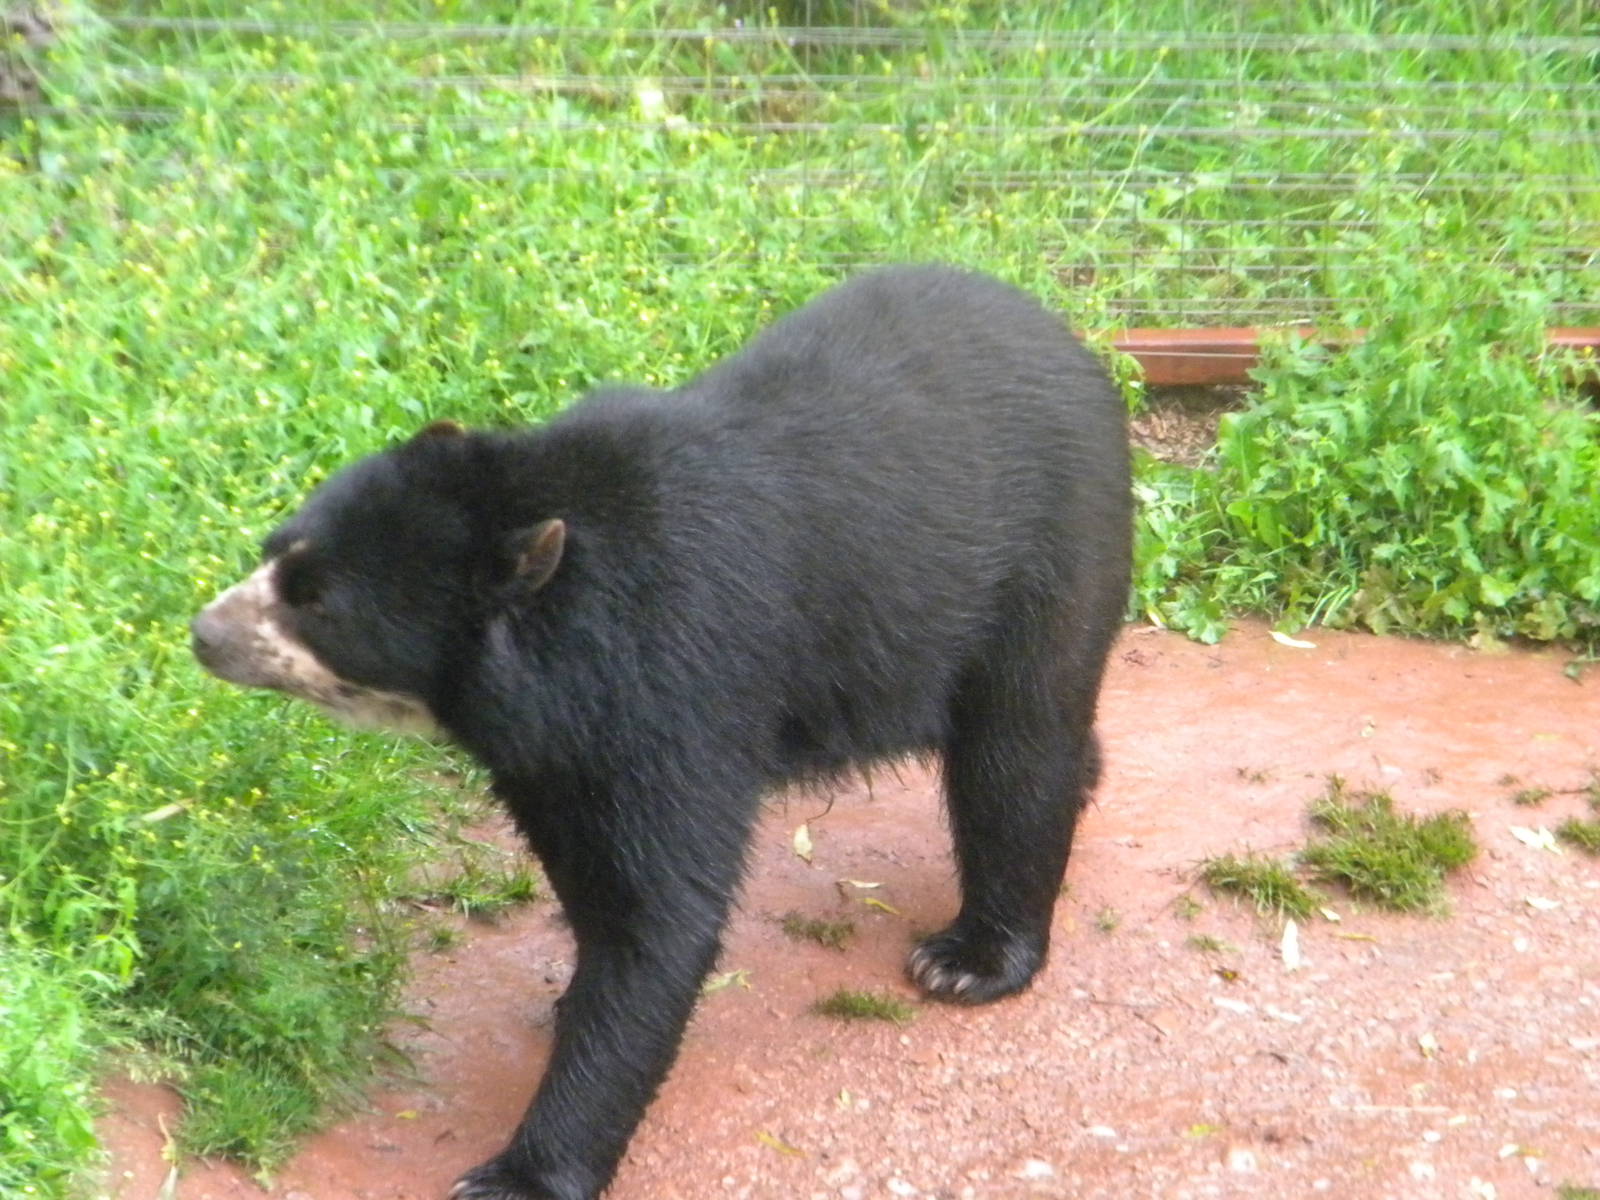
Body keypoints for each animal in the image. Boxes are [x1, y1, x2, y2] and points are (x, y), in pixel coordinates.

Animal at [190, 264, 1133, 1200]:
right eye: (276, 550)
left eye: (319, 604)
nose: (204, 633)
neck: (555, 650)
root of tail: (1073, 344)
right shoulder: (555, 745)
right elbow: (587, 871)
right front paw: (569, 998)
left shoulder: (679, 681)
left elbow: (660, 914)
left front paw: (521, 1173)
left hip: (1048, 560)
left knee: (1014, 750)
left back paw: (974, 956)